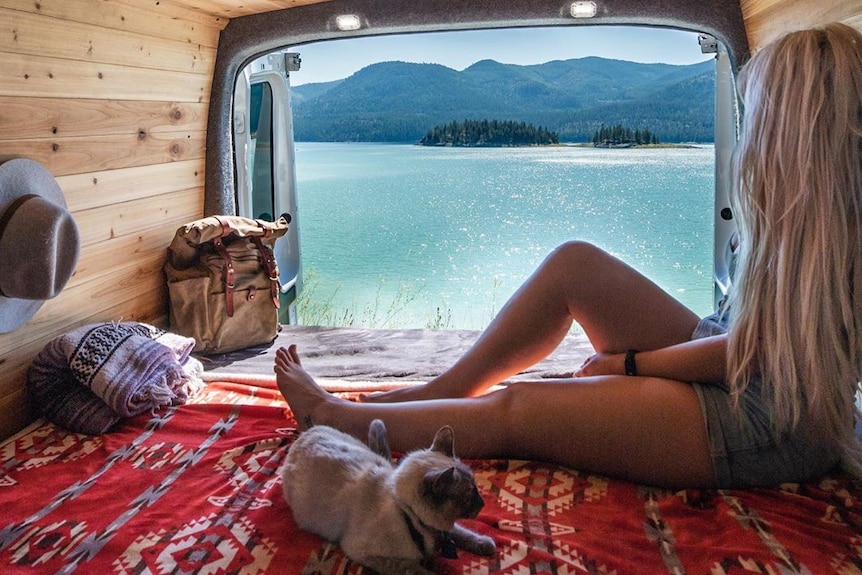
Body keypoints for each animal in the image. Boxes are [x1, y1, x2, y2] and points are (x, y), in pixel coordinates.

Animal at [286, 418, 500, 575]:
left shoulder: (442, 529)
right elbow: (417, 570)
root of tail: (307, 432)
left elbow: (460, 532)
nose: (482, 503)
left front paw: (485, 544)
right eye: (470, 494)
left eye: (476, 488)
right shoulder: (364, 553)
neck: (412, 518)